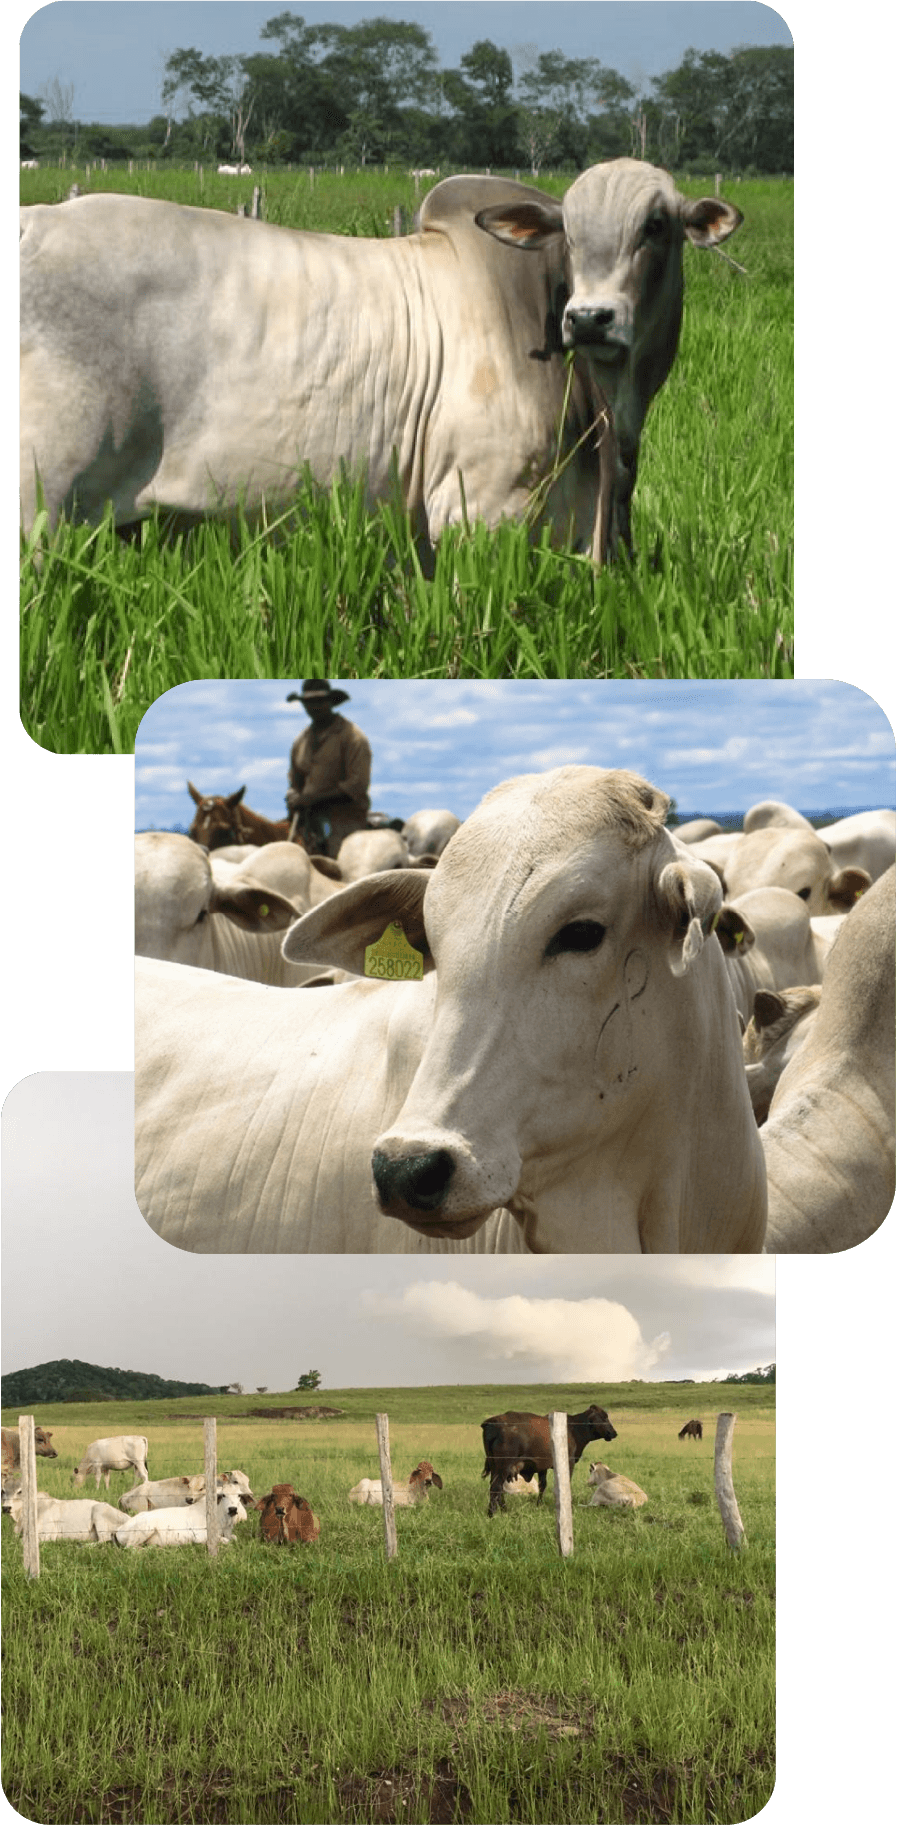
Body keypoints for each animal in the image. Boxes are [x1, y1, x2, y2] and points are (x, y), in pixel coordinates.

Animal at [20, 163, 741, 562]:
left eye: (655, 227)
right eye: (567, 232)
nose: (588, 318)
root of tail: (34, 220)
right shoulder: (478, 512)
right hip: (38, 508)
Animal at [481, 1406, 617, 1516]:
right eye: (604, 1417)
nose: (614, 1433)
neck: (573, 1428)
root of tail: (492, 1422)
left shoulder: (542, 1467)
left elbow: (543, 1485)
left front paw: (539, 1504)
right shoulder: (569, 1462)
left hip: (495, 1467)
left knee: (497, 1489)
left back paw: (504, 1510)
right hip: (503, 1466)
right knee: (496, 1487)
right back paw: (492, 1513)